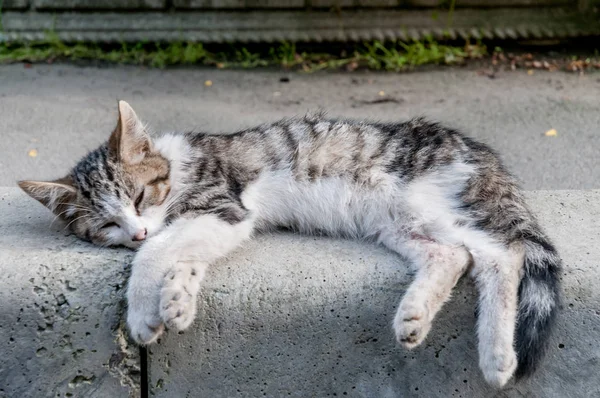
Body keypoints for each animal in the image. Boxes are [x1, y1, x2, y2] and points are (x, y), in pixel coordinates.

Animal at [19, 101, 564, 388]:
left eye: (137, 196)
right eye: (107, 225)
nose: (134, 233)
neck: (176, 173)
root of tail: (473, 147)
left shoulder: (226, 208)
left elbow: (160, 251)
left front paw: (142, 314)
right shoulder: (215, 223)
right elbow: (183, 256)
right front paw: (177, 300)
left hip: (425, 199)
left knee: (500, 254)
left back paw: (496, 356)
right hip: (398, 221)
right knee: (453, 254)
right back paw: (413, 317)